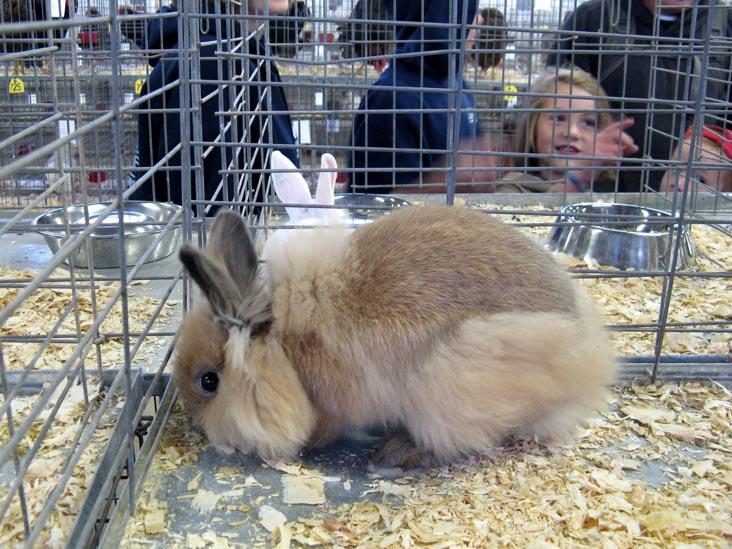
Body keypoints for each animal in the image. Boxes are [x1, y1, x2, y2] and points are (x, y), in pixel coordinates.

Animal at [174, 205, 617, 469]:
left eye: (208, 381)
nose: (193, 423)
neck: (286, 348)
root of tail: (586, 342)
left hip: (458, 377)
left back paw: (395, 453)